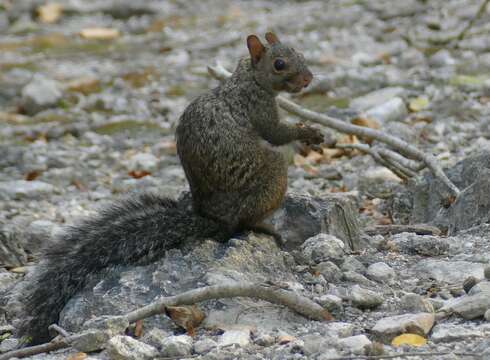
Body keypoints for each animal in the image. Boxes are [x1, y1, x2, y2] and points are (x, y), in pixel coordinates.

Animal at [12, 32, 322, 344]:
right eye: (279, 64)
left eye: (298, 52)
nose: (308, 79)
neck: (249, 77)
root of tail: (212, 218)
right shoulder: (257, 106)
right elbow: (276, 133)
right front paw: (308, 131)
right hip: (272, 173)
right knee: (240, 224)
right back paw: (265, 228)